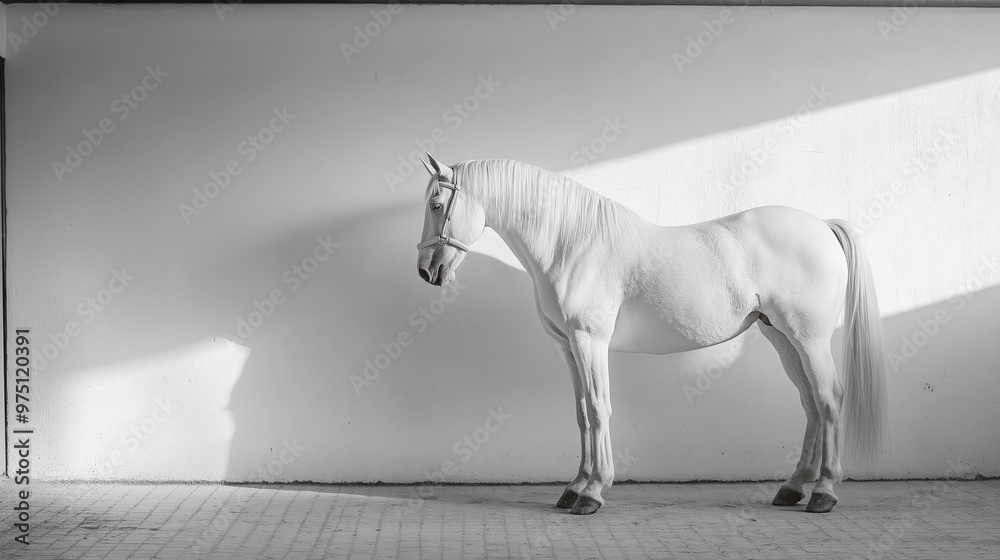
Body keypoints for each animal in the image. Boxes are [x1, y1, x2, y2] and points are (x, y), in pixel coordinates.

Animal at [415, 154, 888, 515]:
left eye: (437, 204)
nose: (426, 271)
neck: (571, 244)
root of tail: (822, 225)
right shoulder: (568, 348)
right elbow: (581, 413)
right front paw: (574, 487)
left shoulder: (590, 341)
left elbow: (599, 409)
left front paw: (592, 493)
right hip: (783, 339)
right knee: (810, 403)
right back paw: (793, 488)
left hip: (808, 339)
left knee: (829, 399)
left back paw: (824, 493)